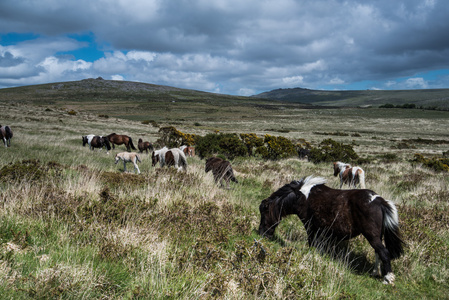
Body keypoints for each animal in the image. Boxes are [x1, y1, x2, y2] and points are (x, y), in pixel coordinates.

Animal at [258, 175, 404, 284]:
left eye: (264, 213)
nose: (261, 233)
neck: (302, 196)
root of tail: (379, 200)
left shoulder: (310, 226)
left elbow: (312, 243)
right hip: (377, 236)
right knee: (377, 252)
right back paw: (375, 272)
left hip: (372, 236)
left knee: (384, 252)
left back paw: (387, 278)